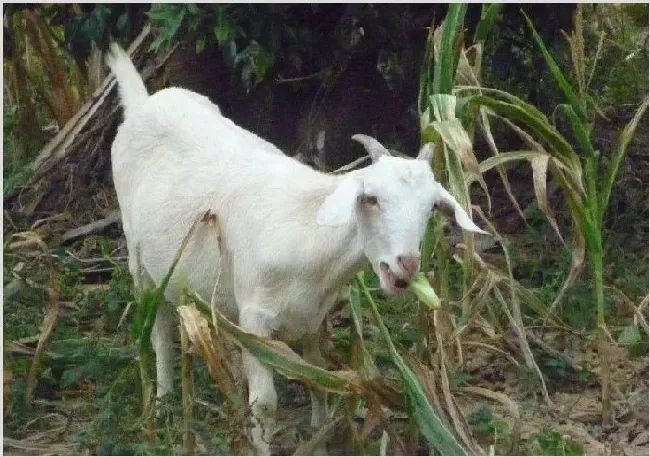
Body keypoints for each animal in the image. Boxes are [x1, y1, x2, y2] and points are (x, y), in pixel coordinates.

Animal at [105, 43, 480, 452]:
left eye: (431, 207)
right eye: (371, 198)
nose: (407, 264)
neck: (308, 235)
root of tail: (142, 103)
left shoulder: (312, 316)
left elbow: (318, 378)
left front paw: (320, 438)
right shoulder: (255, 318)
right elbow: (265, 404)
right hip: (139, 258)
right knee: (156, 325)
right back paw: (163, 402)